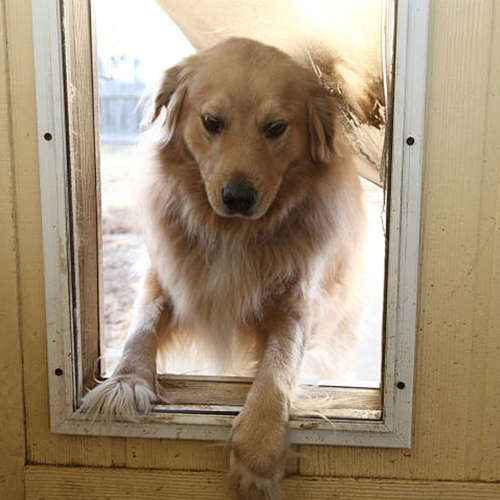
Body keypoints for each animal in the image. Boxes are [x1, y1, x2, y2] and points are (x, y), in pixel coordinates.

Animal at [84, 37, 366, 498]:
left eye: (276, 128)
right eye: (212, 122)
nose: (238, 197)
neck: (231, 233)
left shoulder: (294, 308)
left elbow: (277, 369)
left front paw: (258, 451)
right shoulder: (163, 280)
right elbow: (140, 328)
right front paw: (127, 381)